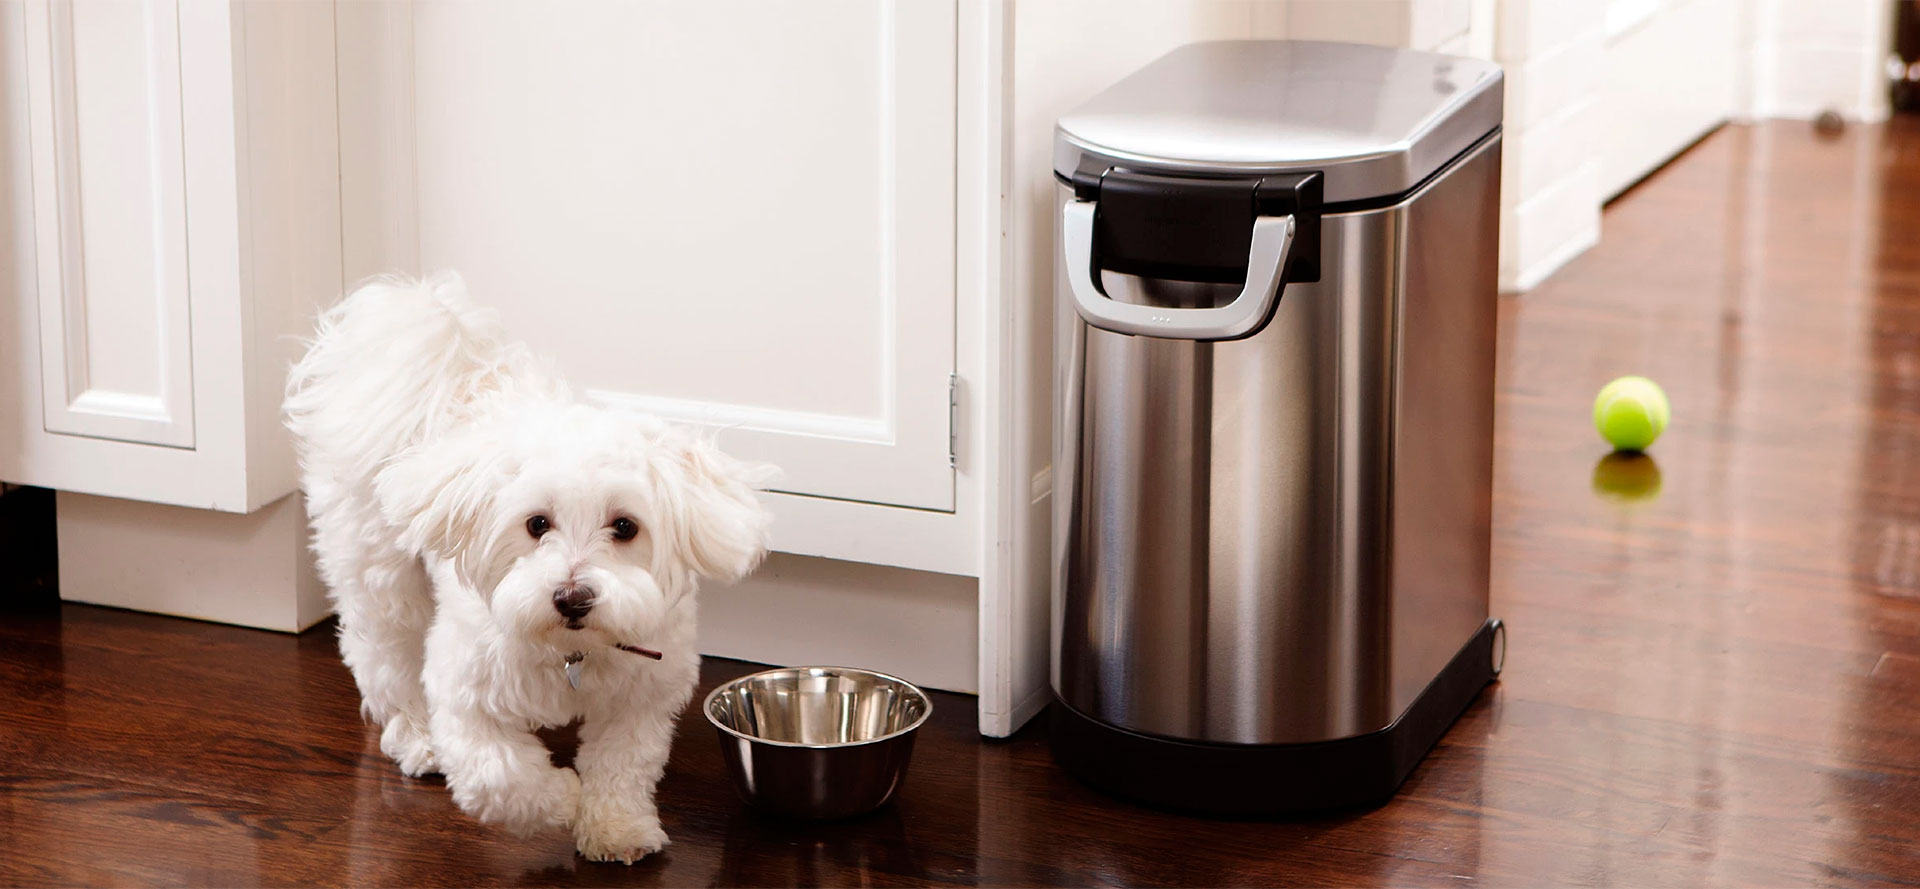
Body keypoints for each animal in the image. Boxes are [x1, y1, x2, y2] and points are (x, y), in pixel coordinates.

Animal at [284, 276, 771, 864]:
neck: (571, 650)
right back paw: (419, 739)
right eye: (537, 523)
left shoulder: (640, 697)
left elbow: (623, 766)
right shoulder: (466, 694)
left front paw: (617, 828)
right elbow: (500, 777)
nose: (572, 597)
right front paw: (562, 797)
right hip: (379, 576)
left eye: (625, 526)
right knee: (386, 658)